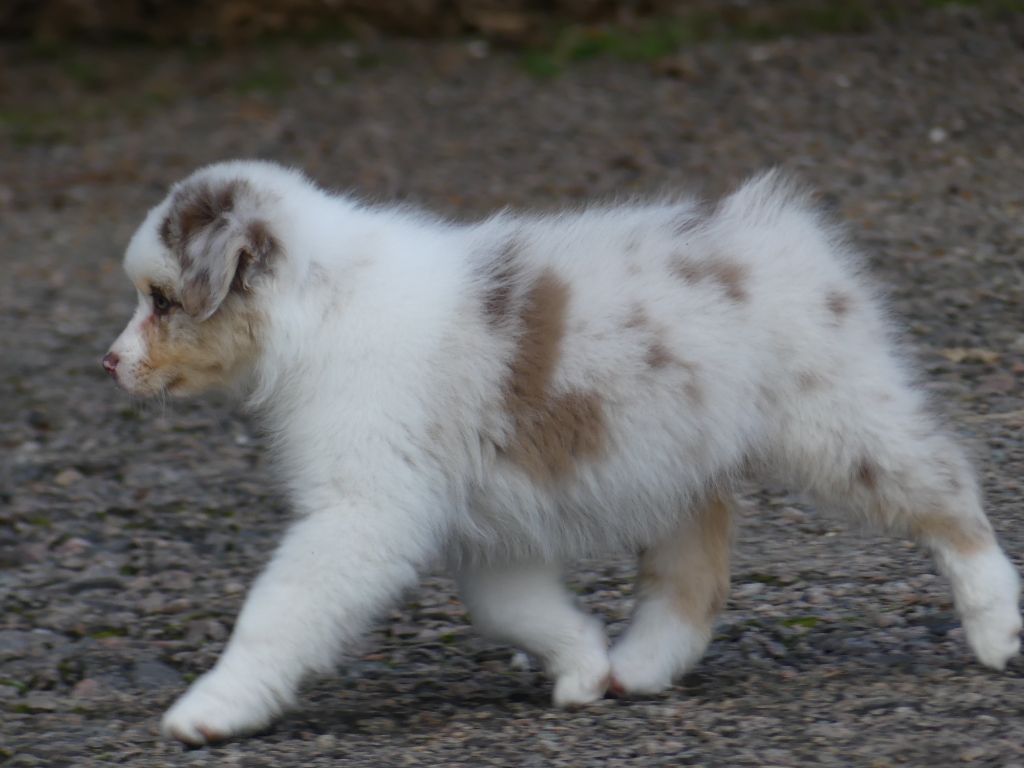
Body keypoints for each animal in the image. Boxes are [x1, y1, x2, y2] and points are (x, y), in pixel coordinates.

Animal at [101, 160, 1015, 745]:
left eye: (162, 300)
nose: (107, 363)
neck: (320, 307)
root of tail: (779, 231)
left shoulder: (364, 510)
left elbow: (279, 610)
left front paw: (211, 708)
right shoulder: (477, 524)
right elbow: (518, 608)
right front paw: (581, 664)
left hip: (837, 421)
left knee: (948, 488)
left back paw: (995, 623)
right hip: (676, 456)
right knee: (695, 575)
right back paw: (637, 665)